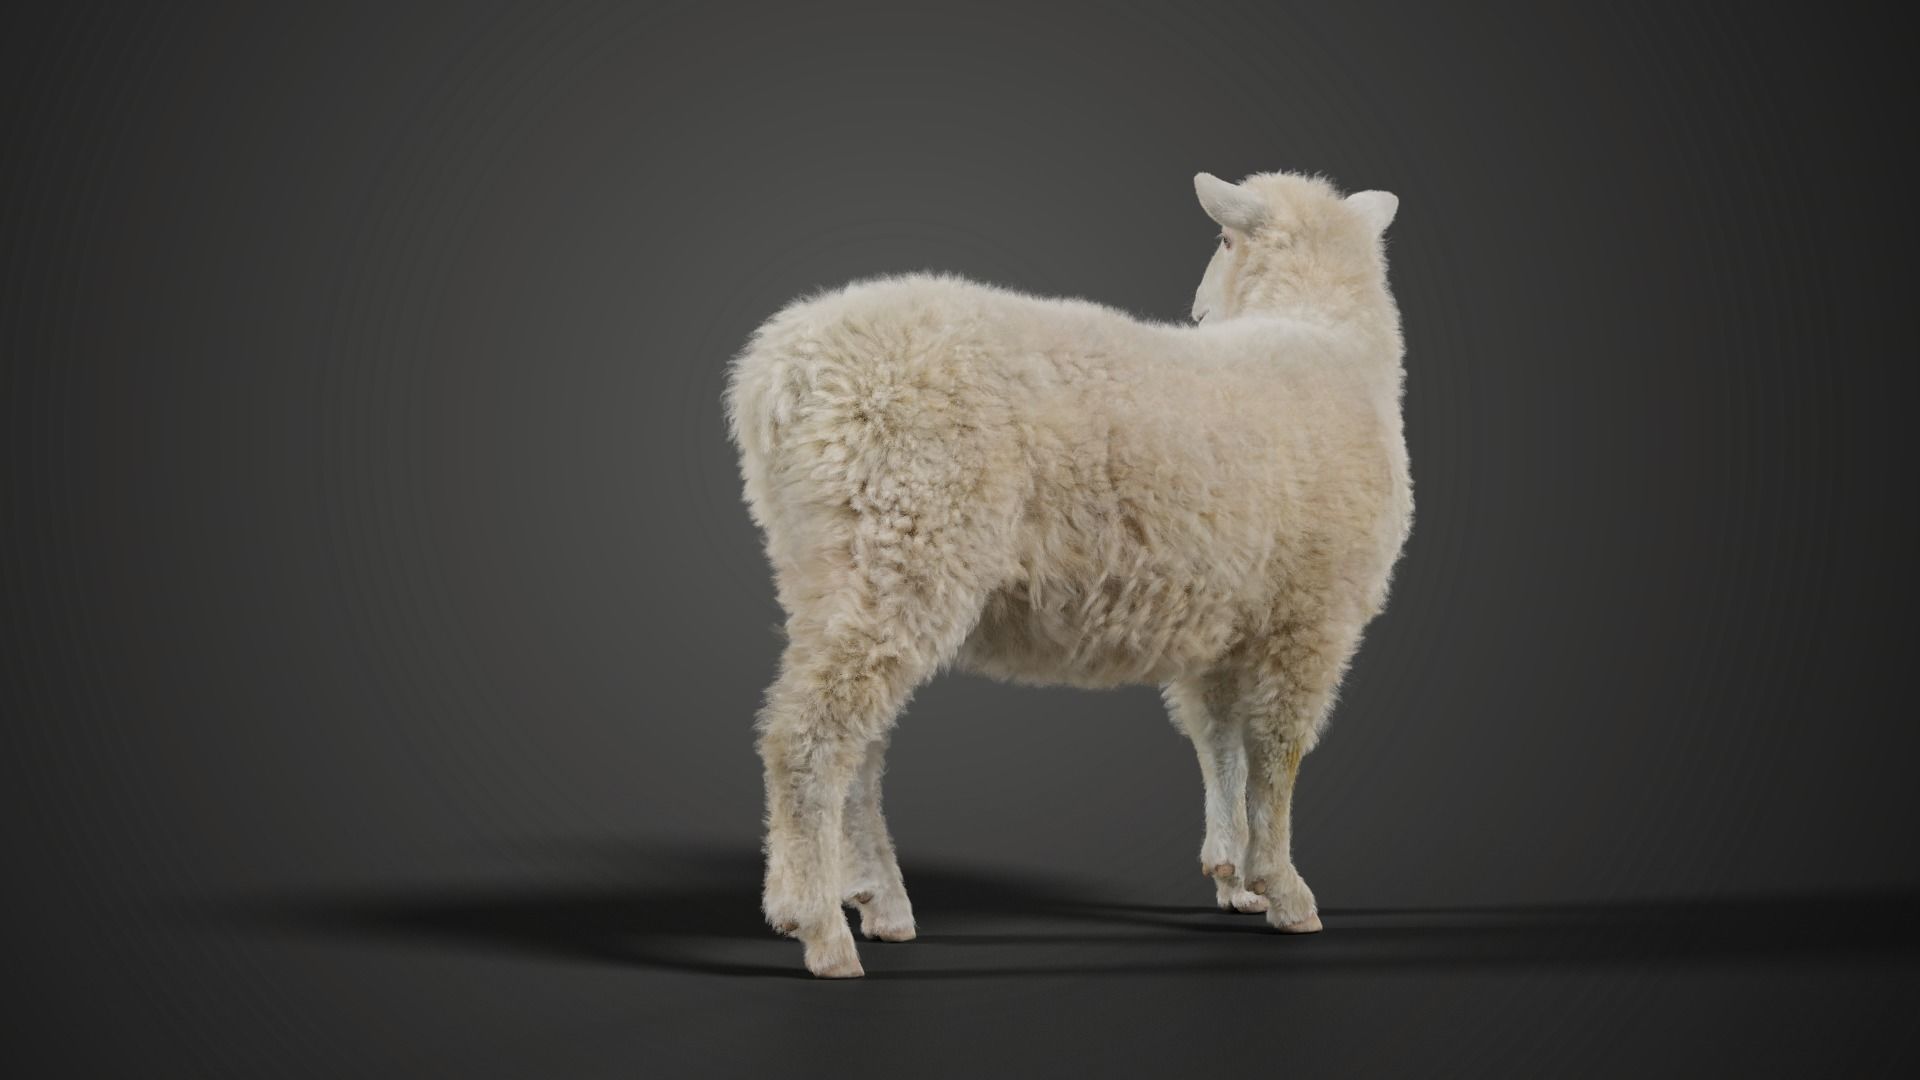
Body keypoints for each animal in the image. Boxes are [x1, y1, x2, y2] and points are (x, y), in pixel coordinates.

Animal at [725, 170, 1411, 977]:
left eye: (1222, 241)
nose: (1197, 311)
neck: (1323, 335)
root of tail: (779, 376)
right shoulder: (1309, 613)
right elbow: (1278, 752)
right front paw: (1284, 887)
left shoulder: (1227, 622)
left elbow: (1221, 742)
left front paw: (1233, 874)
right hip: (907, 537)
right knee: (809, 737)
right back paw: (819, 925)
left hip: (830, 561)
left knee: (857, 742)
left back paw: (875, 902)